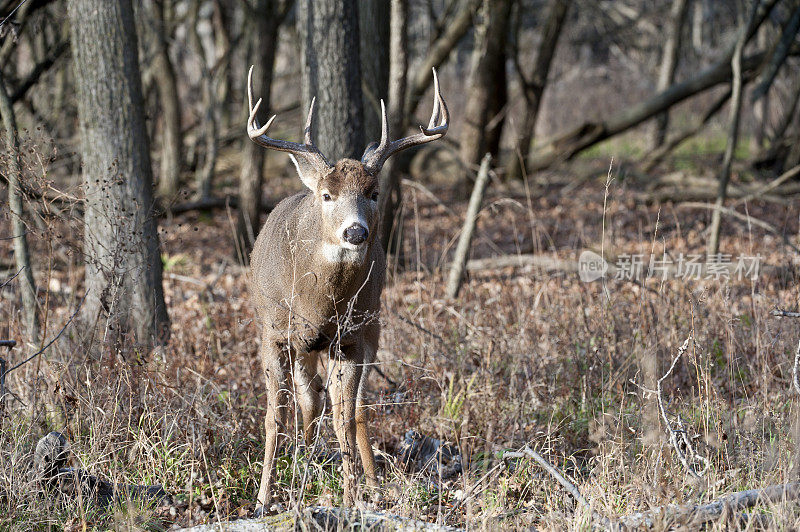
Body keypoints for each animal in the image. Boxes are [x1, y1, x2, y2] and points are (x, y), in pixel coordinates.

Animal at [248, 66, 450, 512]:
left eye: (374, 193)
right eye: (327, 194)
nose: (356, 232)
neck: (319, 305)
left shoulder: (351, 338)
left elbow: (343, 416)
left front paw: (351, 494)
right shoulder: (274, 332)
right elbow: (275, 416)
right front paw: (264, 498)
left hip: (370, 328)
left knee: (353, 410)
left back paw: (370, 485)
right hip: (302, 344)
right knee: (310, 401)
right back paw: (303, 461)